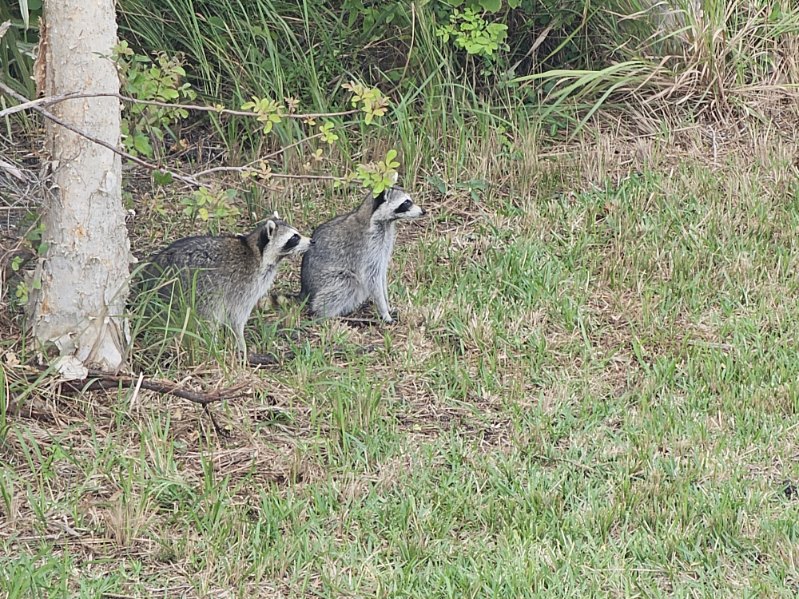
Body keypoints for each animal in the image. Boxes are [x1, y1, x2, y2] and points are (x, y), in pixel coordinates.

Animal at [142, 215, 312, 355]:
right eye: (294, 237)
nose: (312, 241)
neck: (258, 253)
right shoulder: (243, 285)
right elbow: (236, 318)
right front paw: (241, 343)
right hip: (192, 291)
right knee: (208, 315)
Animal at [299, 184, 425, 322]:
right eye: (406, 203)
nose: (423, 211)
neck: (384, 222)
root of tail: (305, 290)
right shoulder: (369, 246)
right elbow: (372, 277)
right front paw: (384, 311)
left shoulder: (384, 243)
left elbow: (382, 274)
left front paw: (387, 304)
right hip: (325, 279)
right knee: (347, 283)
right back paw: (326, 314)